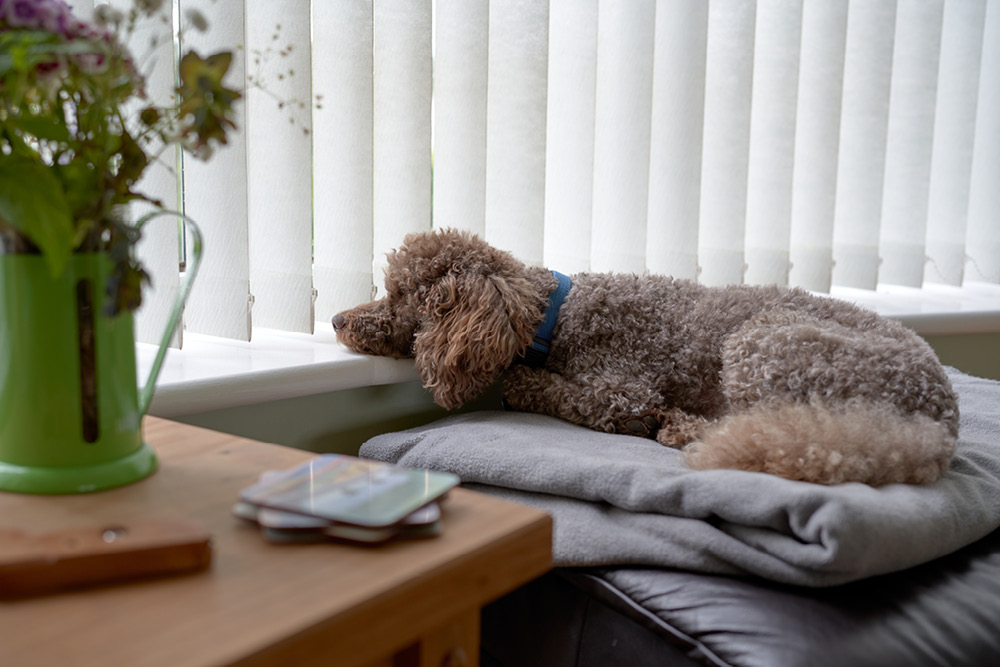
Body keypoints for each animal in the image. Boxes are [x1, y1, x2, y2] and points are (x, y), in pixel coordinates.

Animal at [334, 228, 960, 486]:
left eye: (399, 294)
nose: (338, 321)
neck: (557, 311)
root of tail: (942, 415)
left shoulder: (621, 388)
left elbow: (530, 384)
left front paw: (523, 380)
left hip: (766, 343)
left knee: (770, 431)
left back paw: (680, 426)